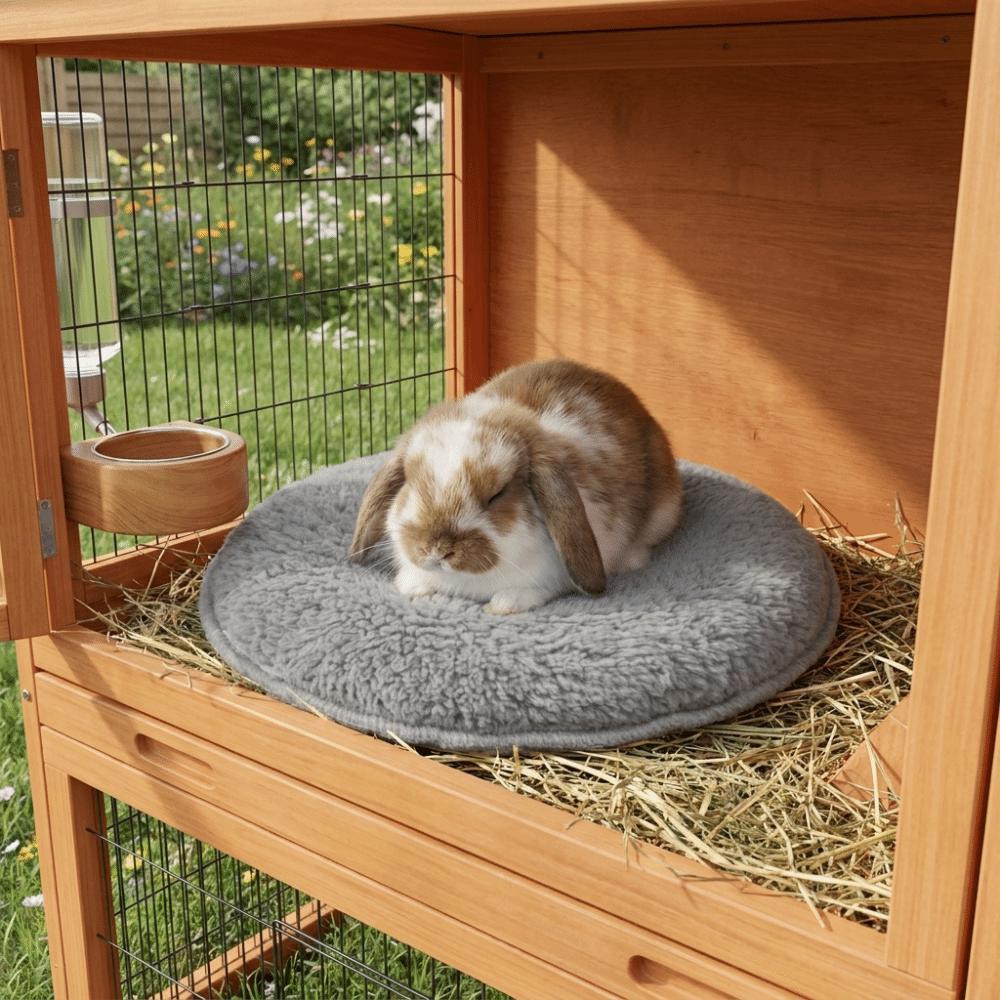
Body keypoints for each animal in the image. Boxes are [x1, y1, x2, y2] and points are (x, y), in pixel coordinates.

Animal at [349, 359, 683, 614]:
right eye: (411, 483)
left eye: (497, 495)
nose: (437, 550)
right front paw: (414, 586)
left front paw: (504, 604)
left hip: (665, 512)